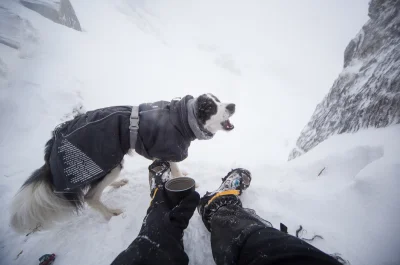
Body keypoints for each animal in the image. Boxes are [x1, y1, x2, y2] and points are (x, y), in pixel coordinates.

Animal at [10, 93, 234, 231]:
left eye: (218, 100)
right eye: (210, 107)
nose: (233, 105)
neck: (181, 119)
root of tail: (53, 143)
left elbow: (173, 166)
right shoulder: (167, 148)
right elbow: (175, 169)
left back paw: (117, 185)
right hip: (110, 163)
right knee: (90, 196)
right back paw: (111, 214)